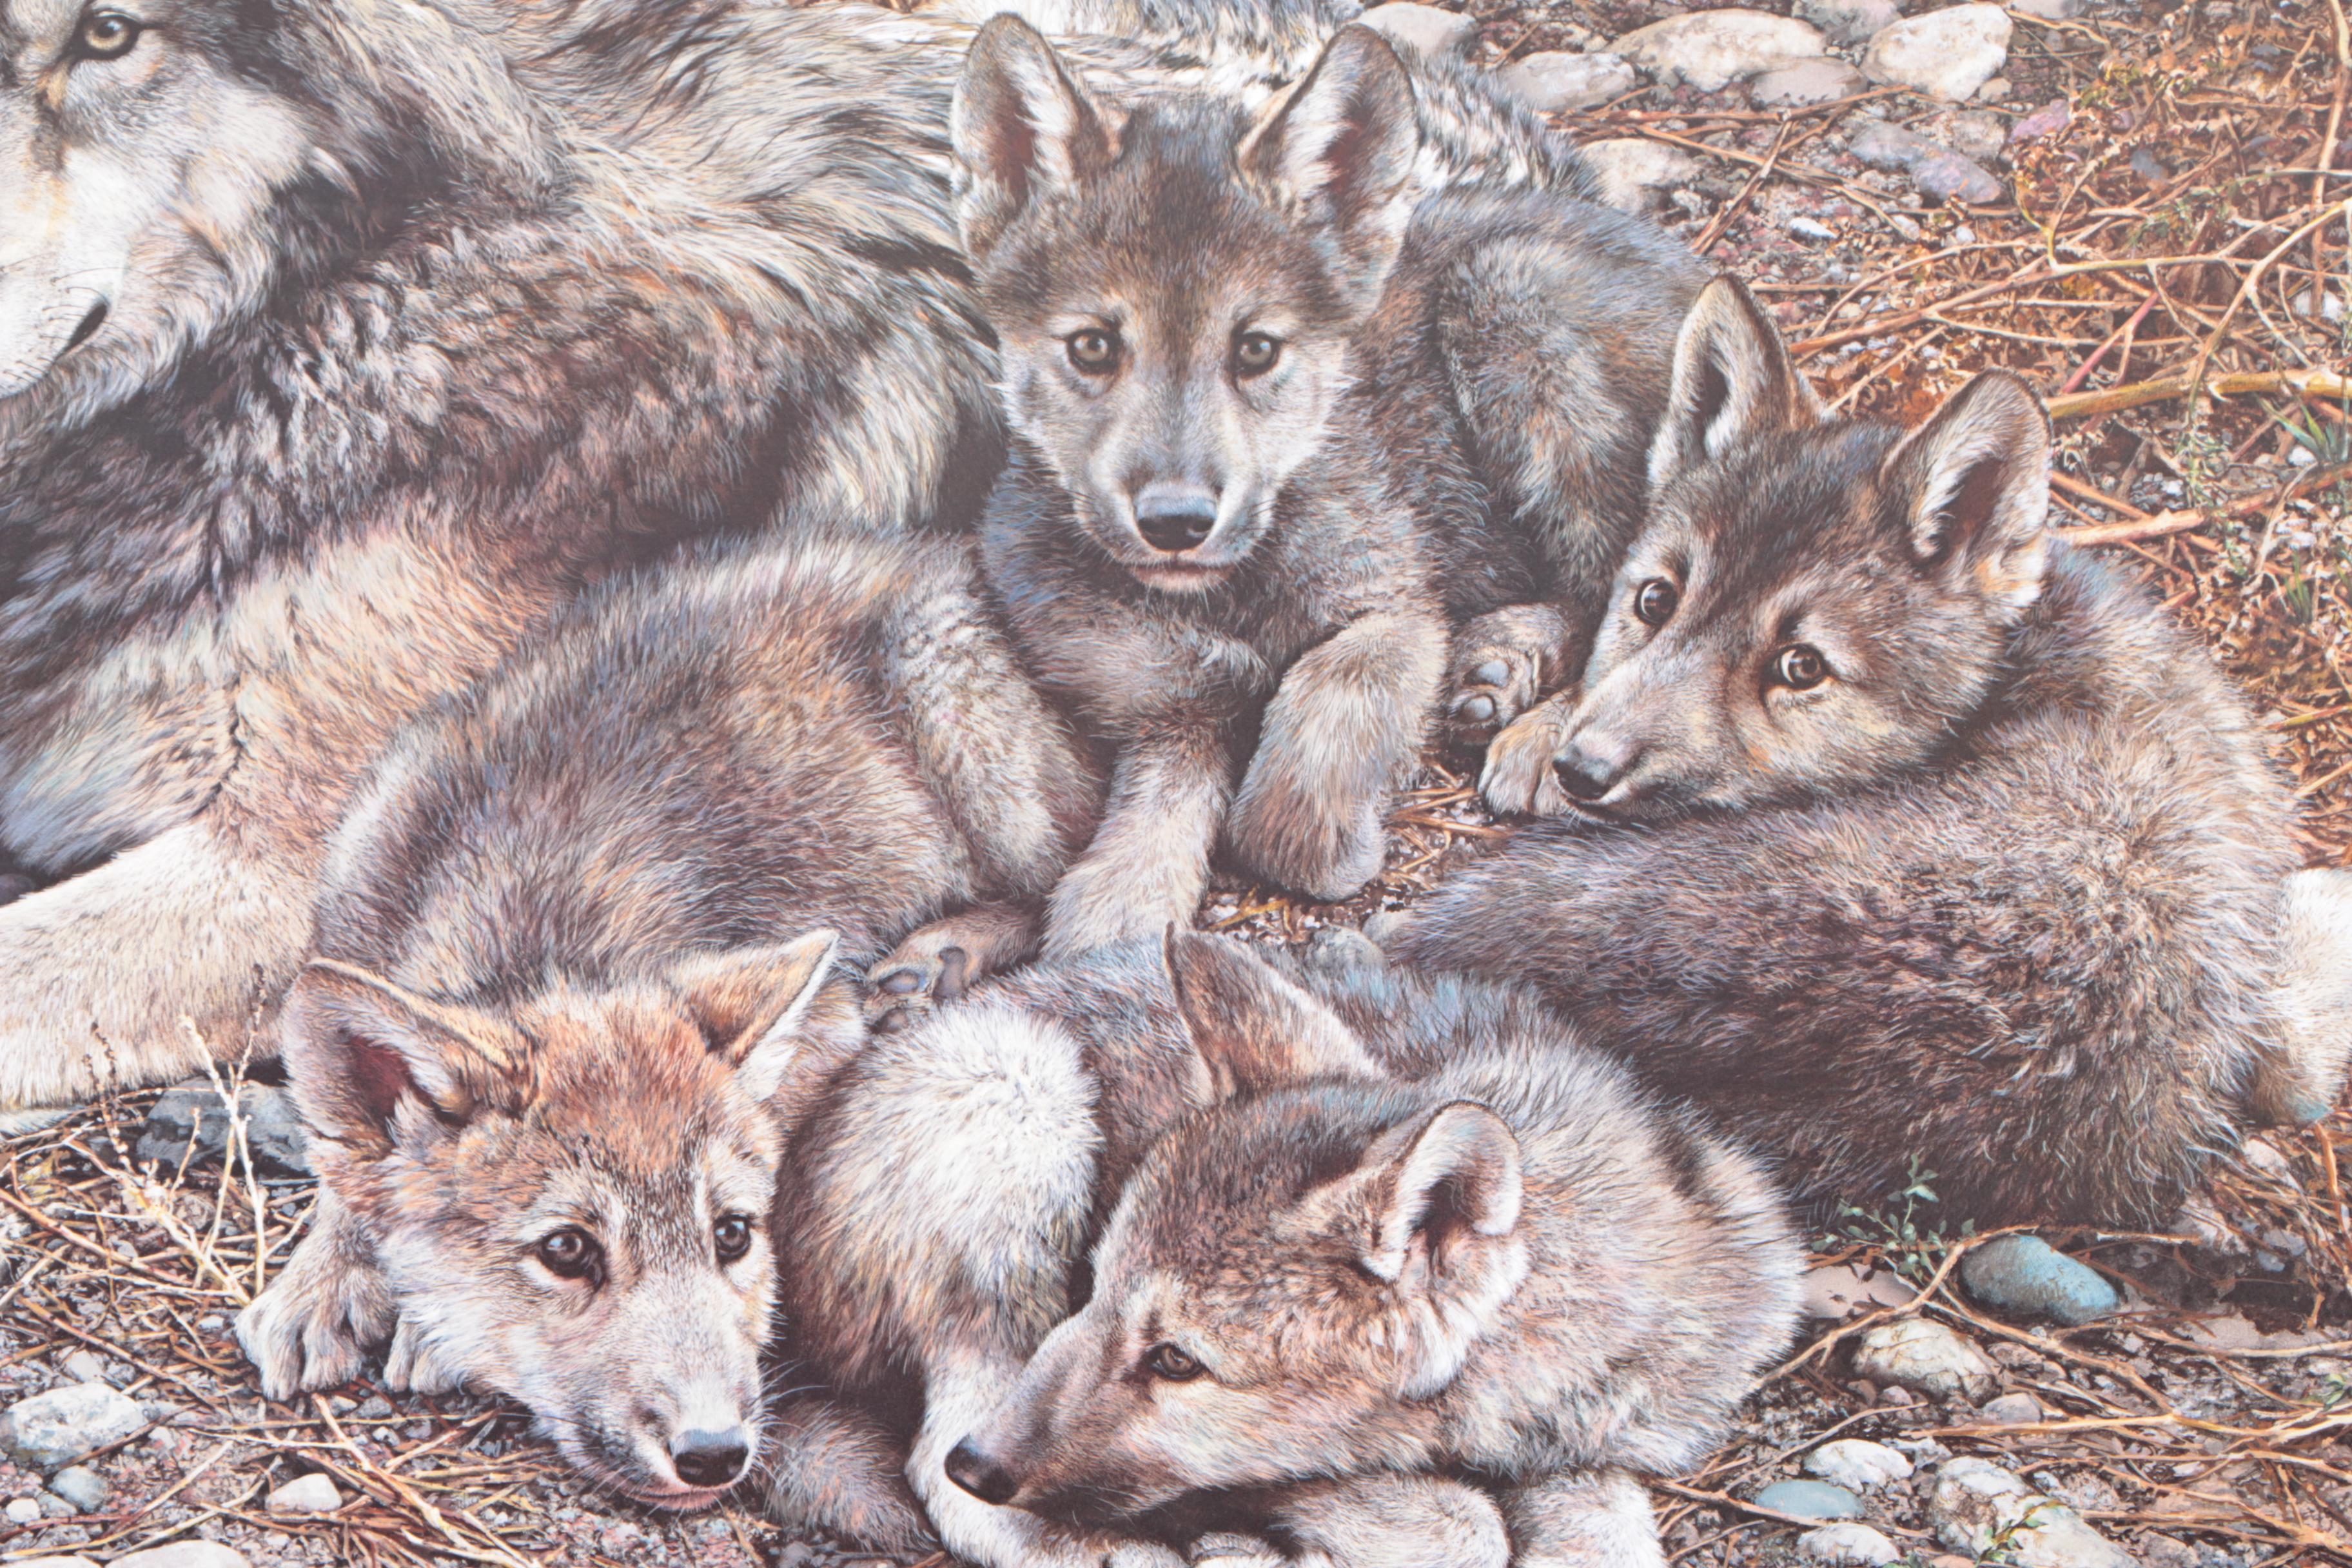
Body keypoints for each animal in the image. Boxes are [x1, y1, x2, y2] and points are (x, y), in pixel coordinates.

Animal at [233, 528, 1099, 1507]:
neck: (533, 933)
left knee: (1055, 882)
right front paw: (320, 1284)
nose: (714, 1452)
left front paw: (419, 1327)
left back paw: (939, 955)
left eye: (733, 1235)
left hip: (965, 729)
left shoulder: (828, 1022)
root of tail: (941, 553)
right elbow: (347, 1177)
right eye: (567, 1251)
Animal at [762, 930, 1797, 1568]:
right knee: (946, 1479)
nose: (980, 1465)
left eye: (1177, 1359)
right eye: (1090, 1290)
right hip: (1020, 1098)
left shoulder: (1603, 1440)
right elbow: (1454, 1522)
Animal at [956, 17, 1701, 956]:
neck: (1226, 593)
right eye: (1091, 347)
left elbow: (1306, 747)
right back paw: (1499, 662)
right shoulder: (1161, 693)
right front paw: (1121, 904)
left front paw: (1329, 847)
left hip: (1511, 300)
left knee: (1619, 579)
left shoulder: (1395, 611)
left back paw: (1539, 726)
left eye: (1257, 350)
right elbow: (1161, 793)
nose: (1176, 521)